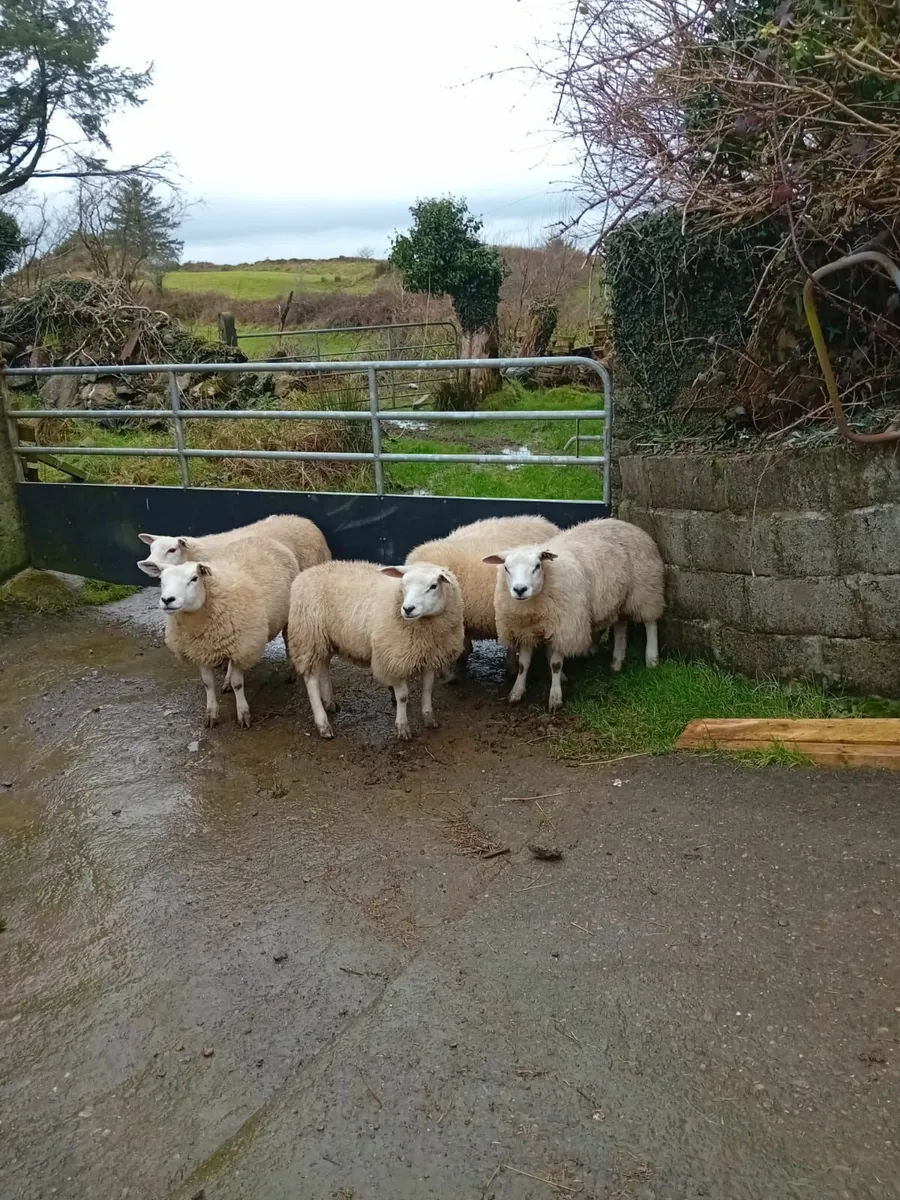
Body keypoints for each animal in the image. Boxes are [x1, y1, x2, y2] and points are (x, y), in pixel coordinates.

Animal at [159, 536, 299, 728]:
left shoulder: (243, 646)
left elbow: (238, 684)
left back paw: (291, 672)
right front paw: (211, 714)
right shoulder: (201, 651)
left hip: (286, 617)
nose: (167, 600)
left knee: (287, 641)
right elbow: (208, 684)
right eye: (161, 581)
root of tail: (263, 538)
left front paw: (243, 714)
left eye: (194, 578)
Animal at [287, 560, 465, 741]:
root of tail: (306, 573)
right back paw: (323, 723)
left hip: (326, 638)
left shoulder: (429, 655)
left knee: (323, 667)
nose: (408, 609)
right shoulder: (392, 659)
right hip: (308, 636)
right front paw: (403, 727)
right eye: (404, 585)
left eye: (433, 586)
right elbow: (403, 696)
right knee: (311, 680)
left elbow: (428, 689)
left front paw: (429, 718)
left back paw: (330, 703)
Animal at [484, 517, 664, 711]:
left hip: (646, 589)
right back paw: (617, 661)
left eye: (537, 566)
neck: (534, 607)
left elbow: (555, 665)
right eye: (506, 568)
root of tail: (624, 523)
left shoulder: (565, 628)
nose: (520, 589)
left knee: (650, 622)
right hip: (619, 597)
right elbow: (523, 666)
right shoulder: (524, 631)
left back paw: (651, 658)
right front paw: (516, 692)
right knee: (620, 625)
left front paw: (555, 698)